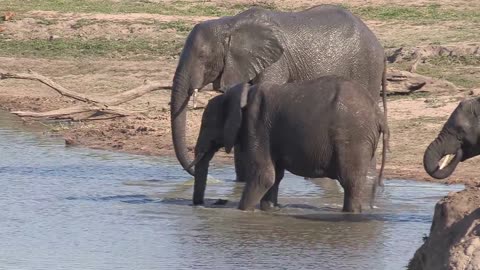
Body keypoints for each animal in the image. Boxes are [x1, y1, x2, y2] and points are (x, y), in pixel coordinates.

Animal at [171, 4, 388, 180]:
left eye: (202, 56)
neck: (230, 24)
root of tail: (380, 47)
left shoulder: (276, 63)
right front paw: (241, 184)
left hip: (366, 68)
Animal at [189, 76, 388, 213]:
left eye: (206, 124)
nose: (201, 204)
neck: (242, 93)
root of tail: (378, 115)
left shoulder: (256, 126)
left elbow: (264, 176)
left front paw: (243, 211)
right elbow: (275, 176)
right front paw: (271, 209)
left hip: (353, 138)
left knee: (350, 180)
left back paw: (350, 213)